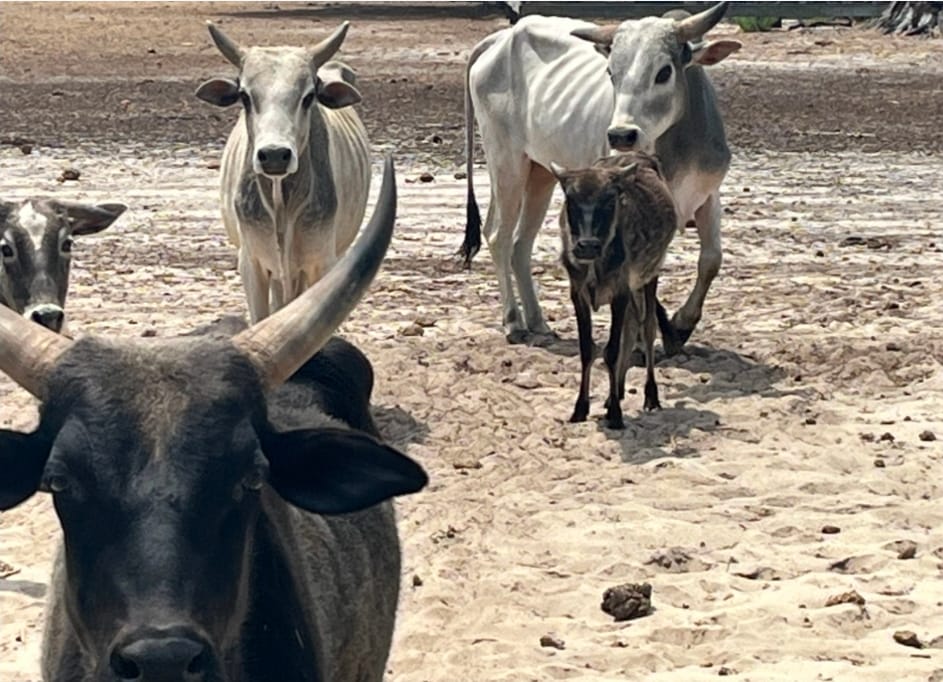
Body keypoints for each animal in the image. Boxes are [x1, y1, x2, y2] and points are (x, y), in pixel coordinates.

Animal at [196, 21, 371, 323]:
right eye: (244, 96)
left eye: (309, 97)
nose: (275, 155)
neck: (281, 203)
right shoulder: (251, 263)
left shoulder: (322, 263)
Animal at [461, 2, 741, 352]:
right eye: (611, 73)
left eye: (664, 72)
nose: (621, 135)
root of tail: (500, 38)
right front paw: (641, 340)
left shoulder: (708, 195)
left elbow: (711, 260)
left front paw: (680, 326)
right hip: (506, 164)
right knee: (499, 236)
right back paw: (514, 322)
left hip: (540, 174)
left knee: (520, 244)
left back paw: (538, 323)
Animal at [552, 152, 678, 428]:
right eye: (570, 200)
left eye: (610, 200)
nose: (587, 246)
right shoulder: (577, 293)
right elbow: (587, 349)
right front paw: (581, 408)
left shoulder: (620, 290)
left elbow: (611, 350)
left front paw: (616, 416)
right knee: (631, 328)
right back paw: (615, 393)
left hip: (649, 276)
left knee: (647, 328)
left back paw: (650, 396)